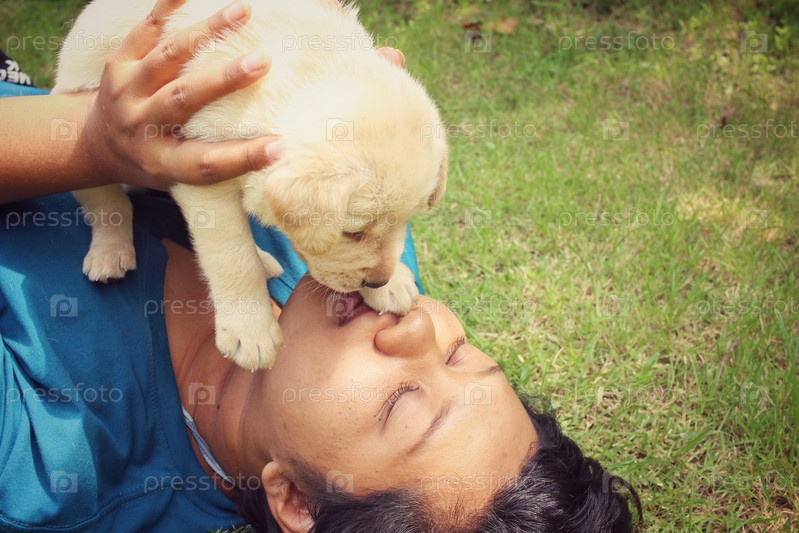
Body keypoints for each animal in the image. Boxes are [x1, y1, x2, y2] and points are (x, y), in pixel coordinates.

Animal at [53, 0, 448, 370]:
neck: (308, 67)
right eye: (352, 233)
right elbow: (233, 256)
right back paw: (110, 252)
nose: (378, 282)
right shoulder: (202, 172)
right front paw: (250, 331)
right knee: (108, 204)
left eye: (405, 220)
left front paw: (393, 284)